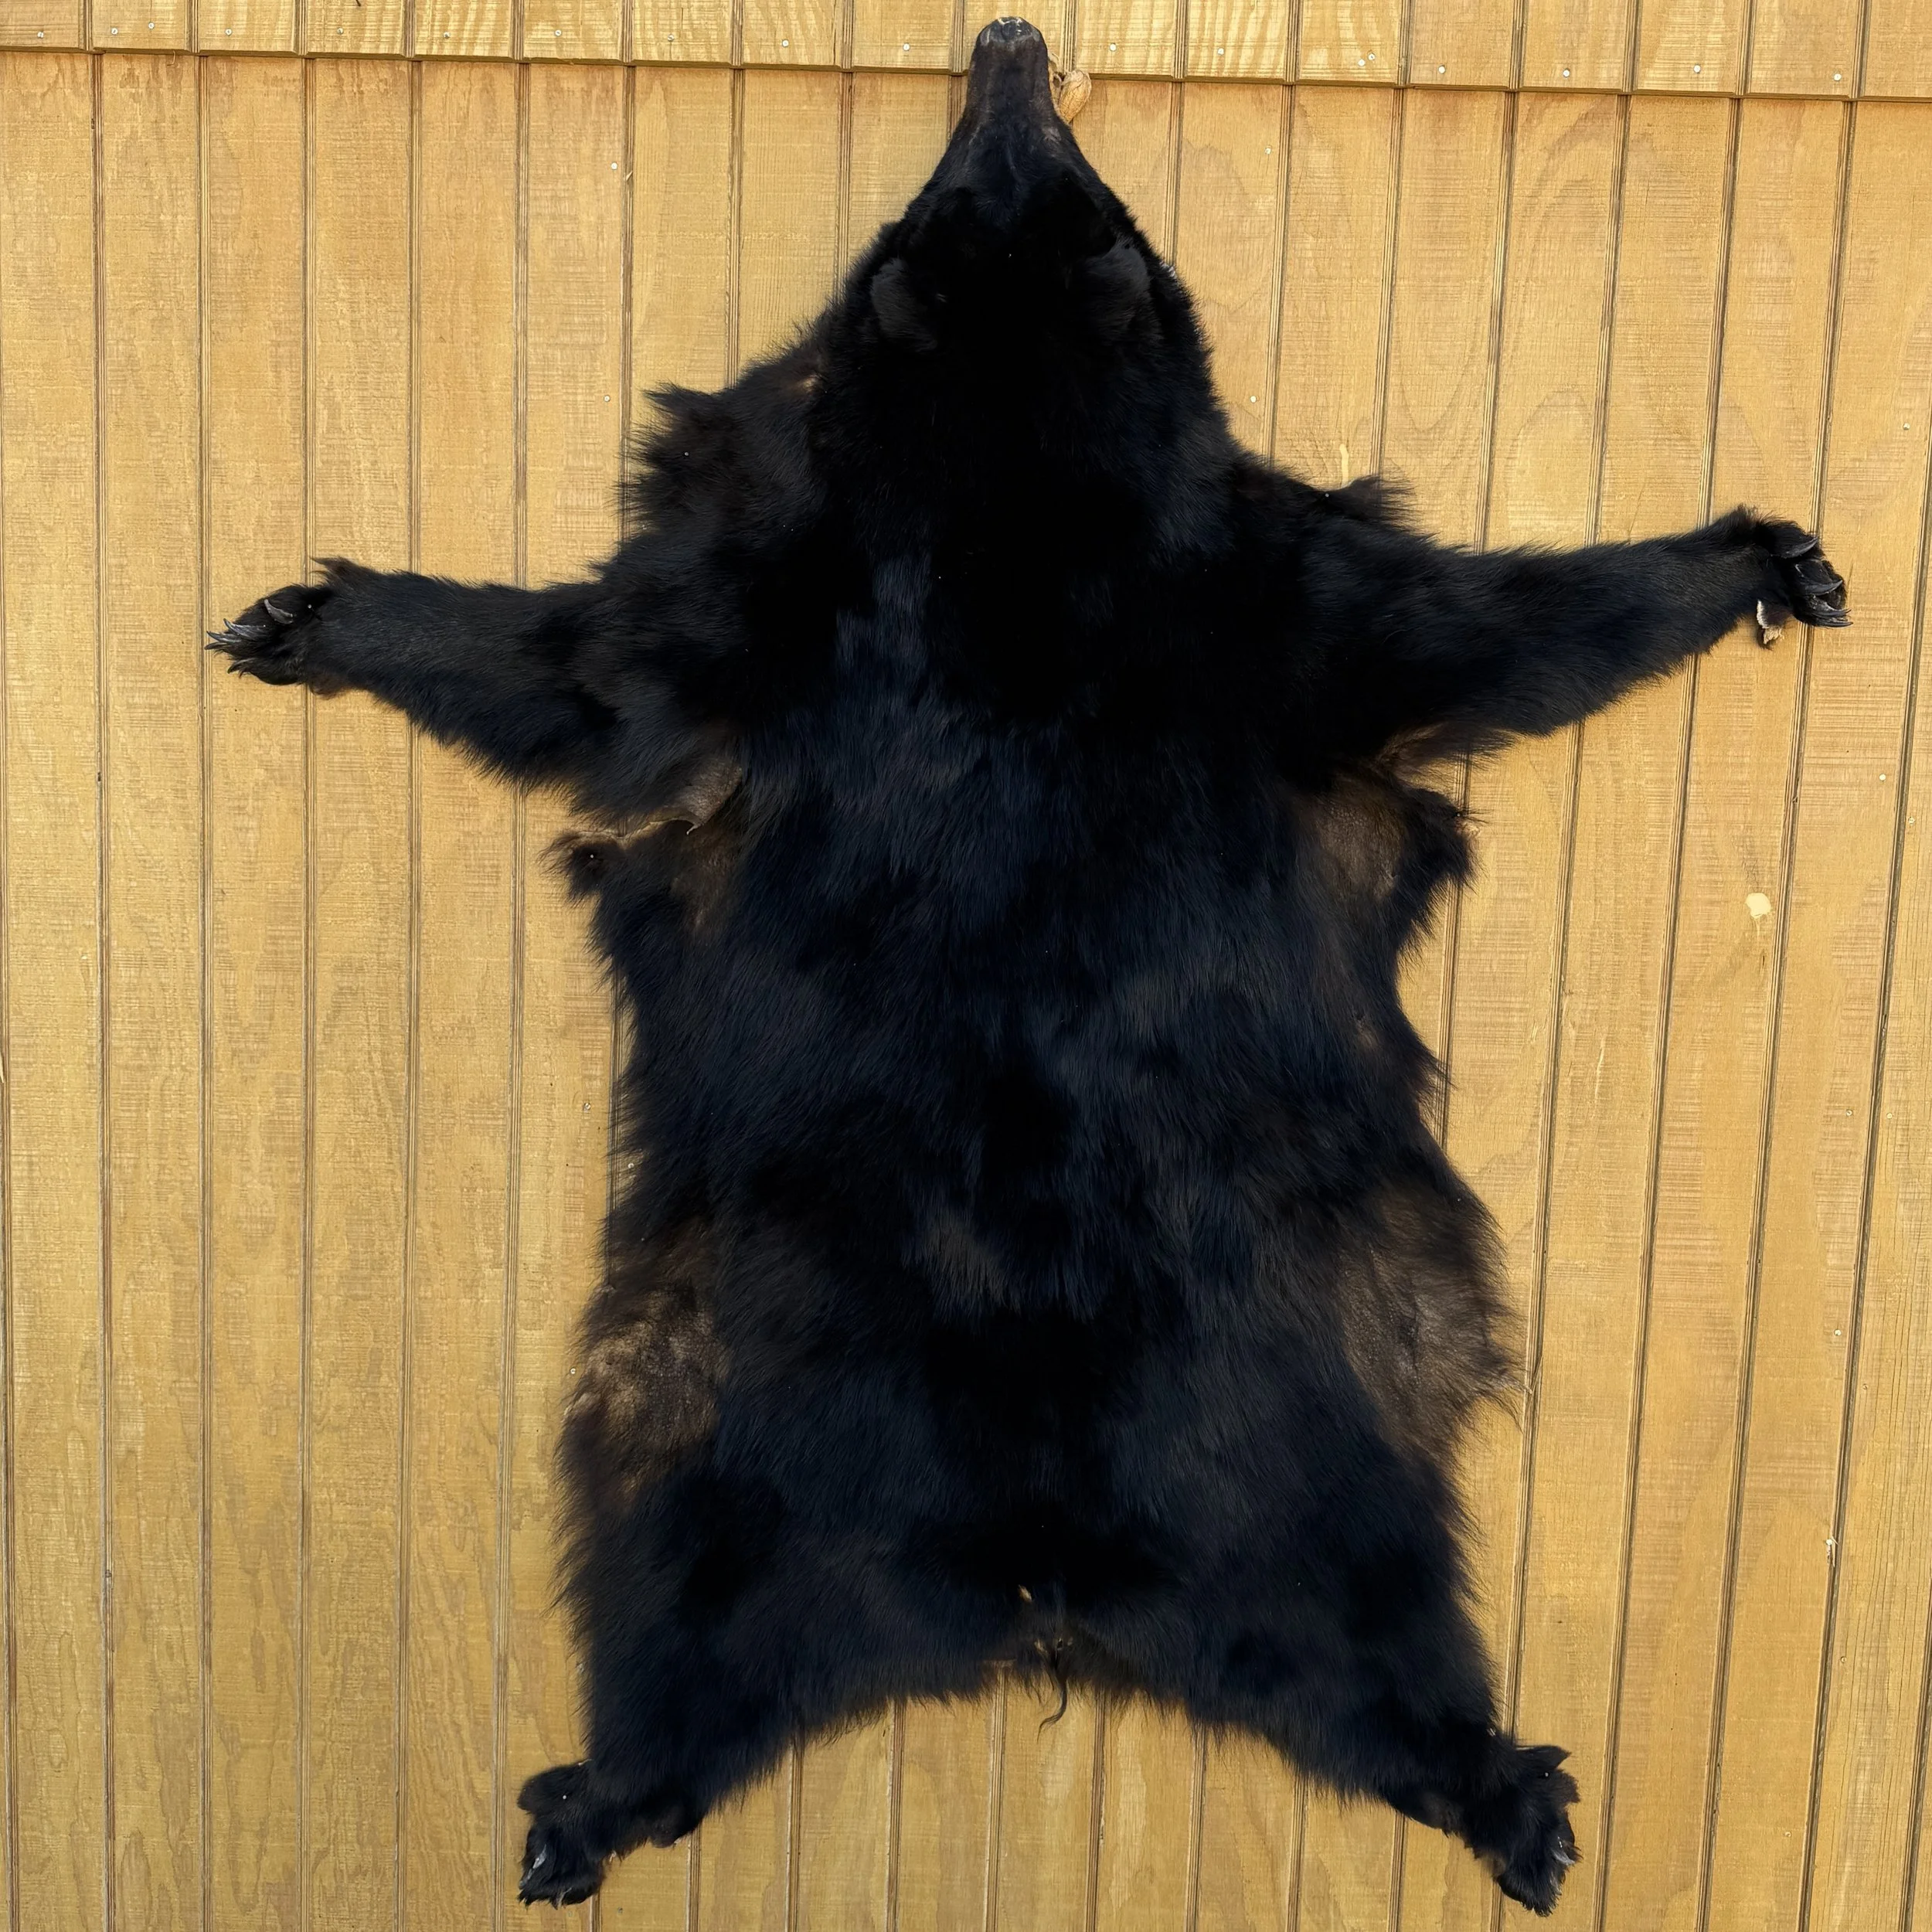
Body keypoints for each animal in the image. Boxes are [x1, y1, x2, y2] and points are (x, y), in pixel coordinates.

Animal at [210, 16, 1848, 1915]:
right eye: (972, 189)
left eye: (1063, 185)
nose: (1008, 43)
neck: (1013, 516)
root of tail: (1039, 1586)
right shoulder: (872, 598)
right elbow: (573, 667)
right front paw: (318, 615)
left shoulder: (1213, 595)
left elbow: (1505, 625)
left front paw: (1751, 558)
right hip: (744, 1463)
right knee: (692, 1659)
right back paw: (598, 1804)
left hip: (1284, 1486)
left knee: (1372, 1663)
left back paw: (1503, 1796)